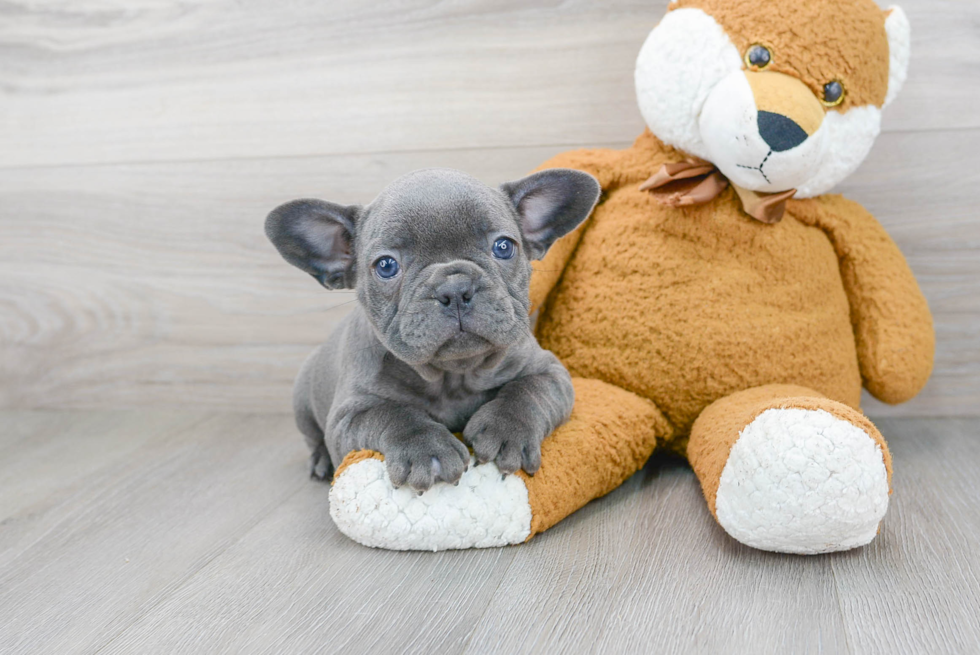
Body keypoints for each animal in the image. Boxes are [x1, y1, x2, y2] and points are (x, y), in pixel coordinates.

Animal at [264, 169, 600, 492]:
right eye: (386, 266)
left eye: (503, 247)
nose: (455, 288)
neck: (453, 375)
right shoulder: (349, 415)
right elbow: (393, 415)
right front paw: (426, 450)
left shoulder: (550, 372)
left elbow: (527, 391)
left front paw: (507, 429)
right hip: (302, 403)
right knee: (314, 438)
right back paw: (320, 462)